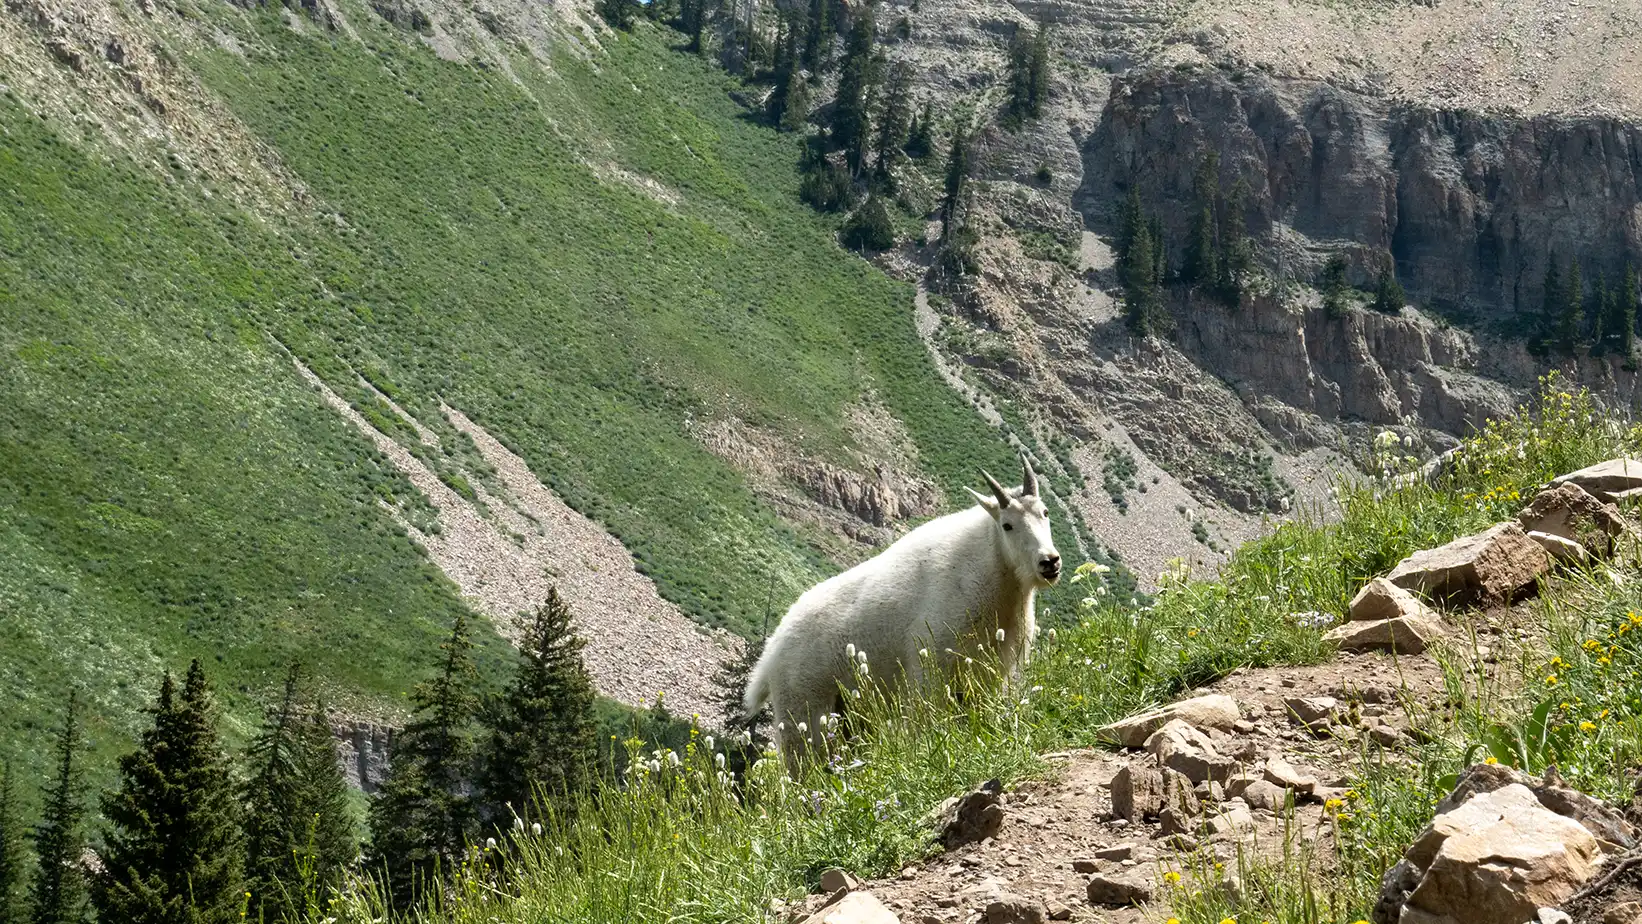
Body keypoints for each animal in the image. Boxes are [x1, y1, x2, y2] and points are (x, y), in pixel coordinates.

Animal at [745, 456, 1064, 768]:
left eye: (1045, 512)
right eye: (1007, 525)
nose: (1049, 562)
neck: (992, 571)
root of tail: (770, 653)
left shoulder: (991, 670)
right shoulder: (931, 667)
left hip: (847, 714)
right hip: (804, 710)